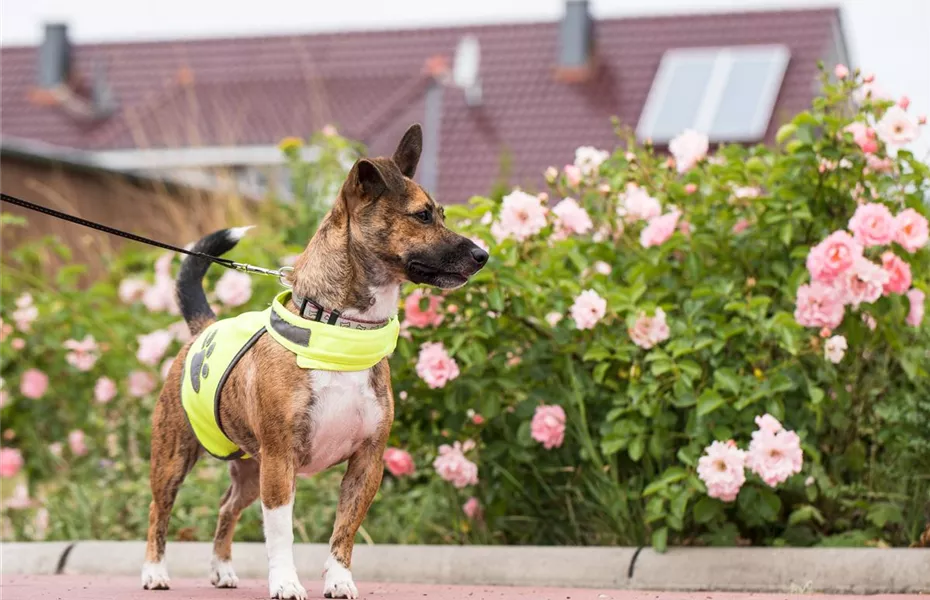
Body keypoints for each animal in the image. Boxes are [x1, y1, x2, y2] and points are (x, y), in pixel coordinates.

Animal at [142, 124, 490, 596]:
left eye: (442, 214)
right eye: (421, 216)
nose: (483, 255)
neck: (339, 329)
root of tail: (204, 326)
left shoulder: (366, 463)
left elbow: (344, 529)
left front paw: (339, 578)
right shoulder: (280, 464)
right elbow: (281, 534)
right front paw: (286, 583)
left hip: (249, 469)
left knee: (227, 507)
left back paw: (221, 568)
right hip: (174, 457)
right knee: (158, 510)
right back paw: (154, 571)